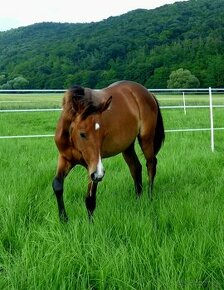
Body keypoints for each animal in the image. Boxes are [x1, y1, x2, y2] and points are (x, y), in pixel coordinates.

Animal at [52, 80, 164, 221]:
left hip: (146, 139)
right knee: (136, 167)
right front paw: (63, 220)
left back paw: (149, 197)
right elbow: (57, 185)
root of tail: (148, 94)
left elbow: (90, 199)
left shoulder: (92, 167)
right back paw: (138, 199)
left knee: (151, 164)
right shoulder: (65, 158)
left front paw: (90, 224)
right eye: (82, 134)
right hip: (127, 146)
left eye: (103, 134)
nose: (99, 173)